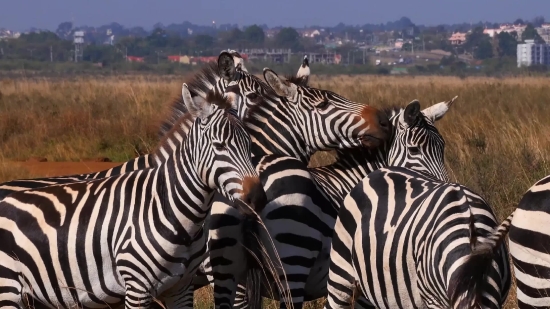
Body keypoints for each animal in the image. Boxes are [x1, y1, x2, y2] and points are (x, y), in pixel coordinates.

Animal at [0, 84, 274, 308]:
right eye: (219, 146)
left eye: (250, 145)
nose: (258, 198)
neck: (173, 209)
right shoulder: (137, 288)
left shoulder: (181, 288)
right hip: (8, 288)